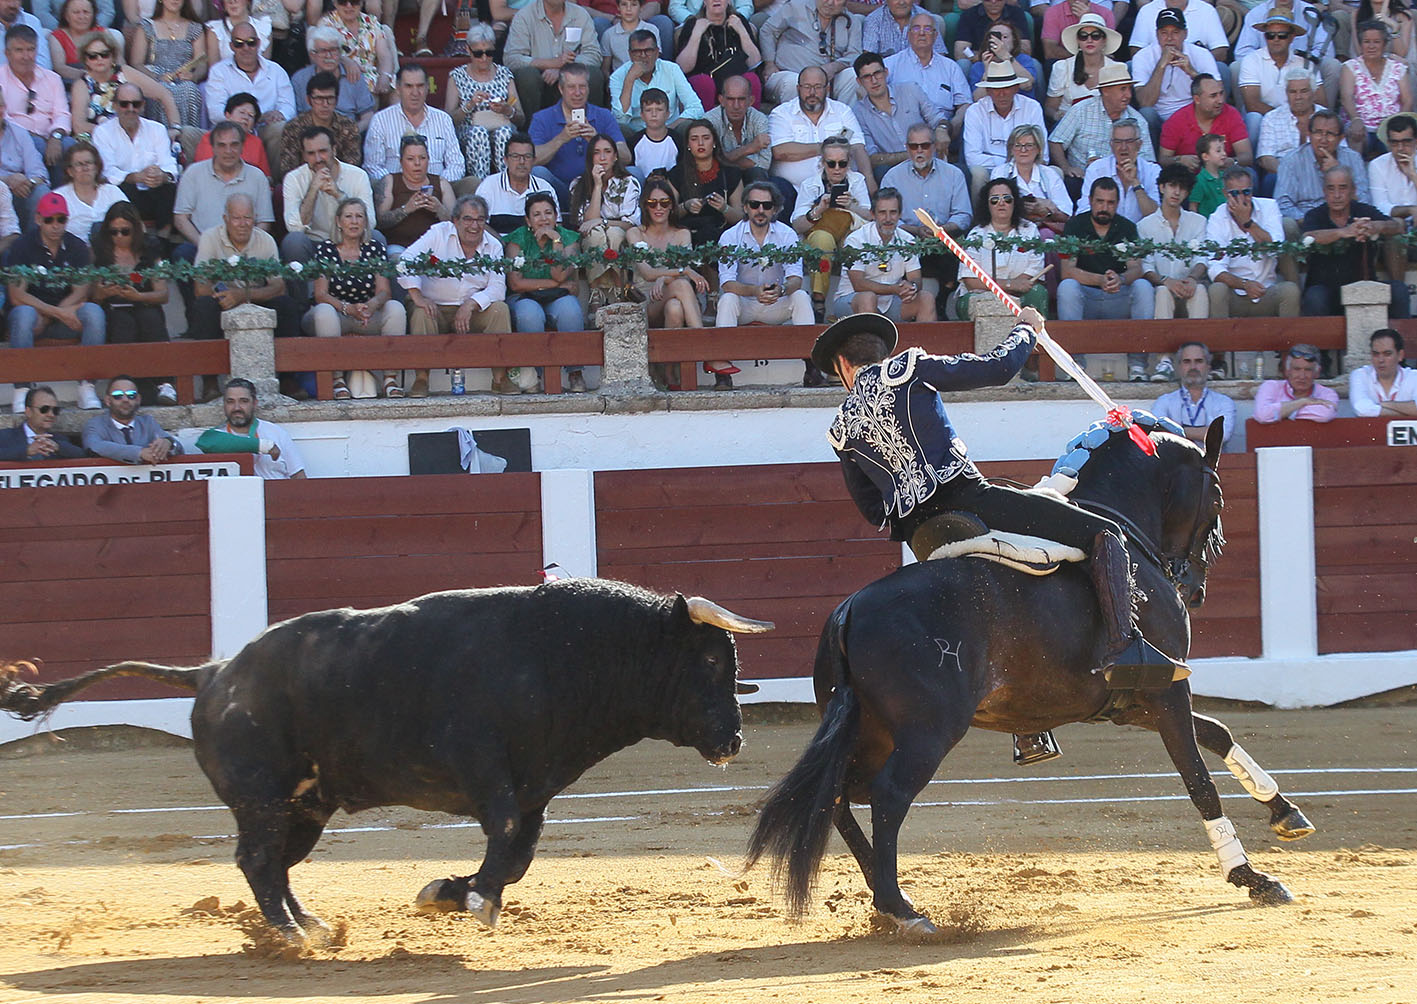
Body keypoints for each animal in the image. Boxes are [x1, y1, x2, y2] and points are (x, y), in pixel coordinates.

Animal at [0, 577, 773, 946]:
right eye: (711, 659)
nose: (734, 741)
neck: (568, 652)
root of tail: (212, 673)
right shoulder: (487, 771)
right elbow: (503, 841)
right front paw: (472, 901)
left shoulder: (534, 789)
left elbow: (519, 853)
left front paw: (451, 893)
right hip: (260, 797)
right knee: (256, 861)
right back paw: (293, 938)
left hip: (305, 805)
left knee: (276, 865)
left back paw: (312, 927)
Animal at [746, 417, 1315, 938]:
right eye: (1216, 497)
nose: (1194, 588)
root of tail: (849, 610)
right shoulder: (1168, 688)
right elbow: (1199, 779)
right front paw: (1251, 876)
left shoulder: (1135, 701)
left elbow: (1217, 732)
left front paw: (1285, 815)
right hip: (927, 732)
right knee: (885, 796)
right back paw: (903, 910)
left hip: (869, 730)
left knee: (837, 798)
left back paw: (886, 901)